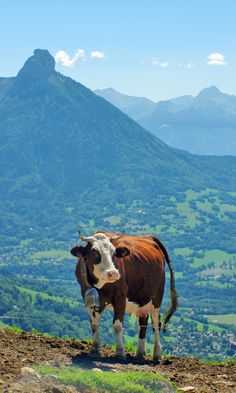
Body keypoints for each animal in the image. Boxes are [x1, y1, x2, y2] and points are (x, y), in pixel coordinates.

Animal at [71, 230, 178, 362]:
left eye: (114, 252)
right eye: (94, 253)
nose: (113, 273)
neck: (99, 284)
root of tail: (150, 237)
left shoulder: (120, 296)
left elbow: (117, 325)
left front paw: (120, 352)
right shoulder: (87, 295)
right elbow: (94, 323)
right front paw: (95, 349)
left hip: (157, 296)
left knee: (156, 323)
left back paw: (157, 355)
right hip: (141, 298)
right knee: (143, 322)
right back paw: (139, 354)